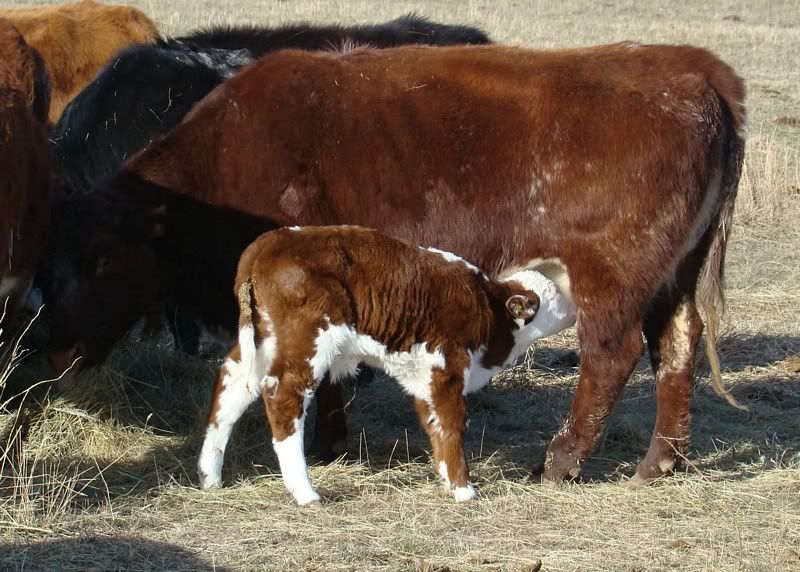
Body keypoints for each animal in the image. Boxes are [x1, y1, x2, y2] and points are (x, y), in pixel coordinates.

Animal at [197, 225, 576, 504]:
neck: (488, 311)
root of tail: (268, 244)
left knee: (231, 387)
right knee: (283, 398)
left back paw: (209, 476)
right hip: (305, 342)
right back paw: (305, 493)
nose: (574, 305)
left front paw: (447, 480)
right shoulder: (446, 366)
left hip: (263, 341)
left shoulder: (423, 375)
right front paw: (464, 490)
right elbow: (452, 422)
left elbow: (434, 423)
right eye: (553, 295)